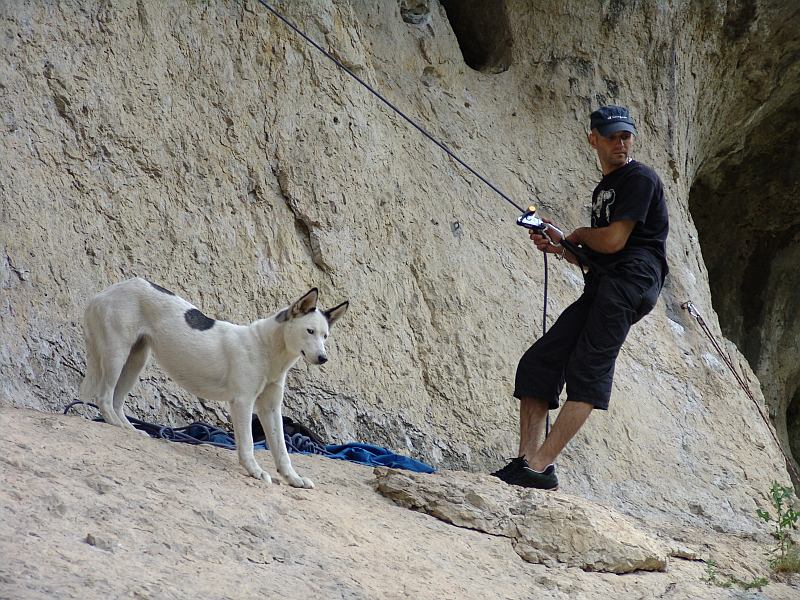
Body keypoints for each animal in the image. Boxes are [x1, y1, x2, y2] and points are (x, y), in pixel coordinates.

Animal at [80, 278, 350, 490]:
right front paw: (255, 471)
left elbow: (282, 450)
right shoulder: (242, 402)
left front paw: (293, 479)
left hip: (136, 359)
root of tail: (103, 293)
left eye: (325, 336)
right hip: (117, 354)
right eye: (309, 331)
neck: (266, 349)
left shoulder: (270, 409)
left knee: (116, 401)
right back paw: (115, 423)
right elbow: (248, 444)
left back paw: (129, 429)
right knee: (104, 397)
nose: (323, 358)